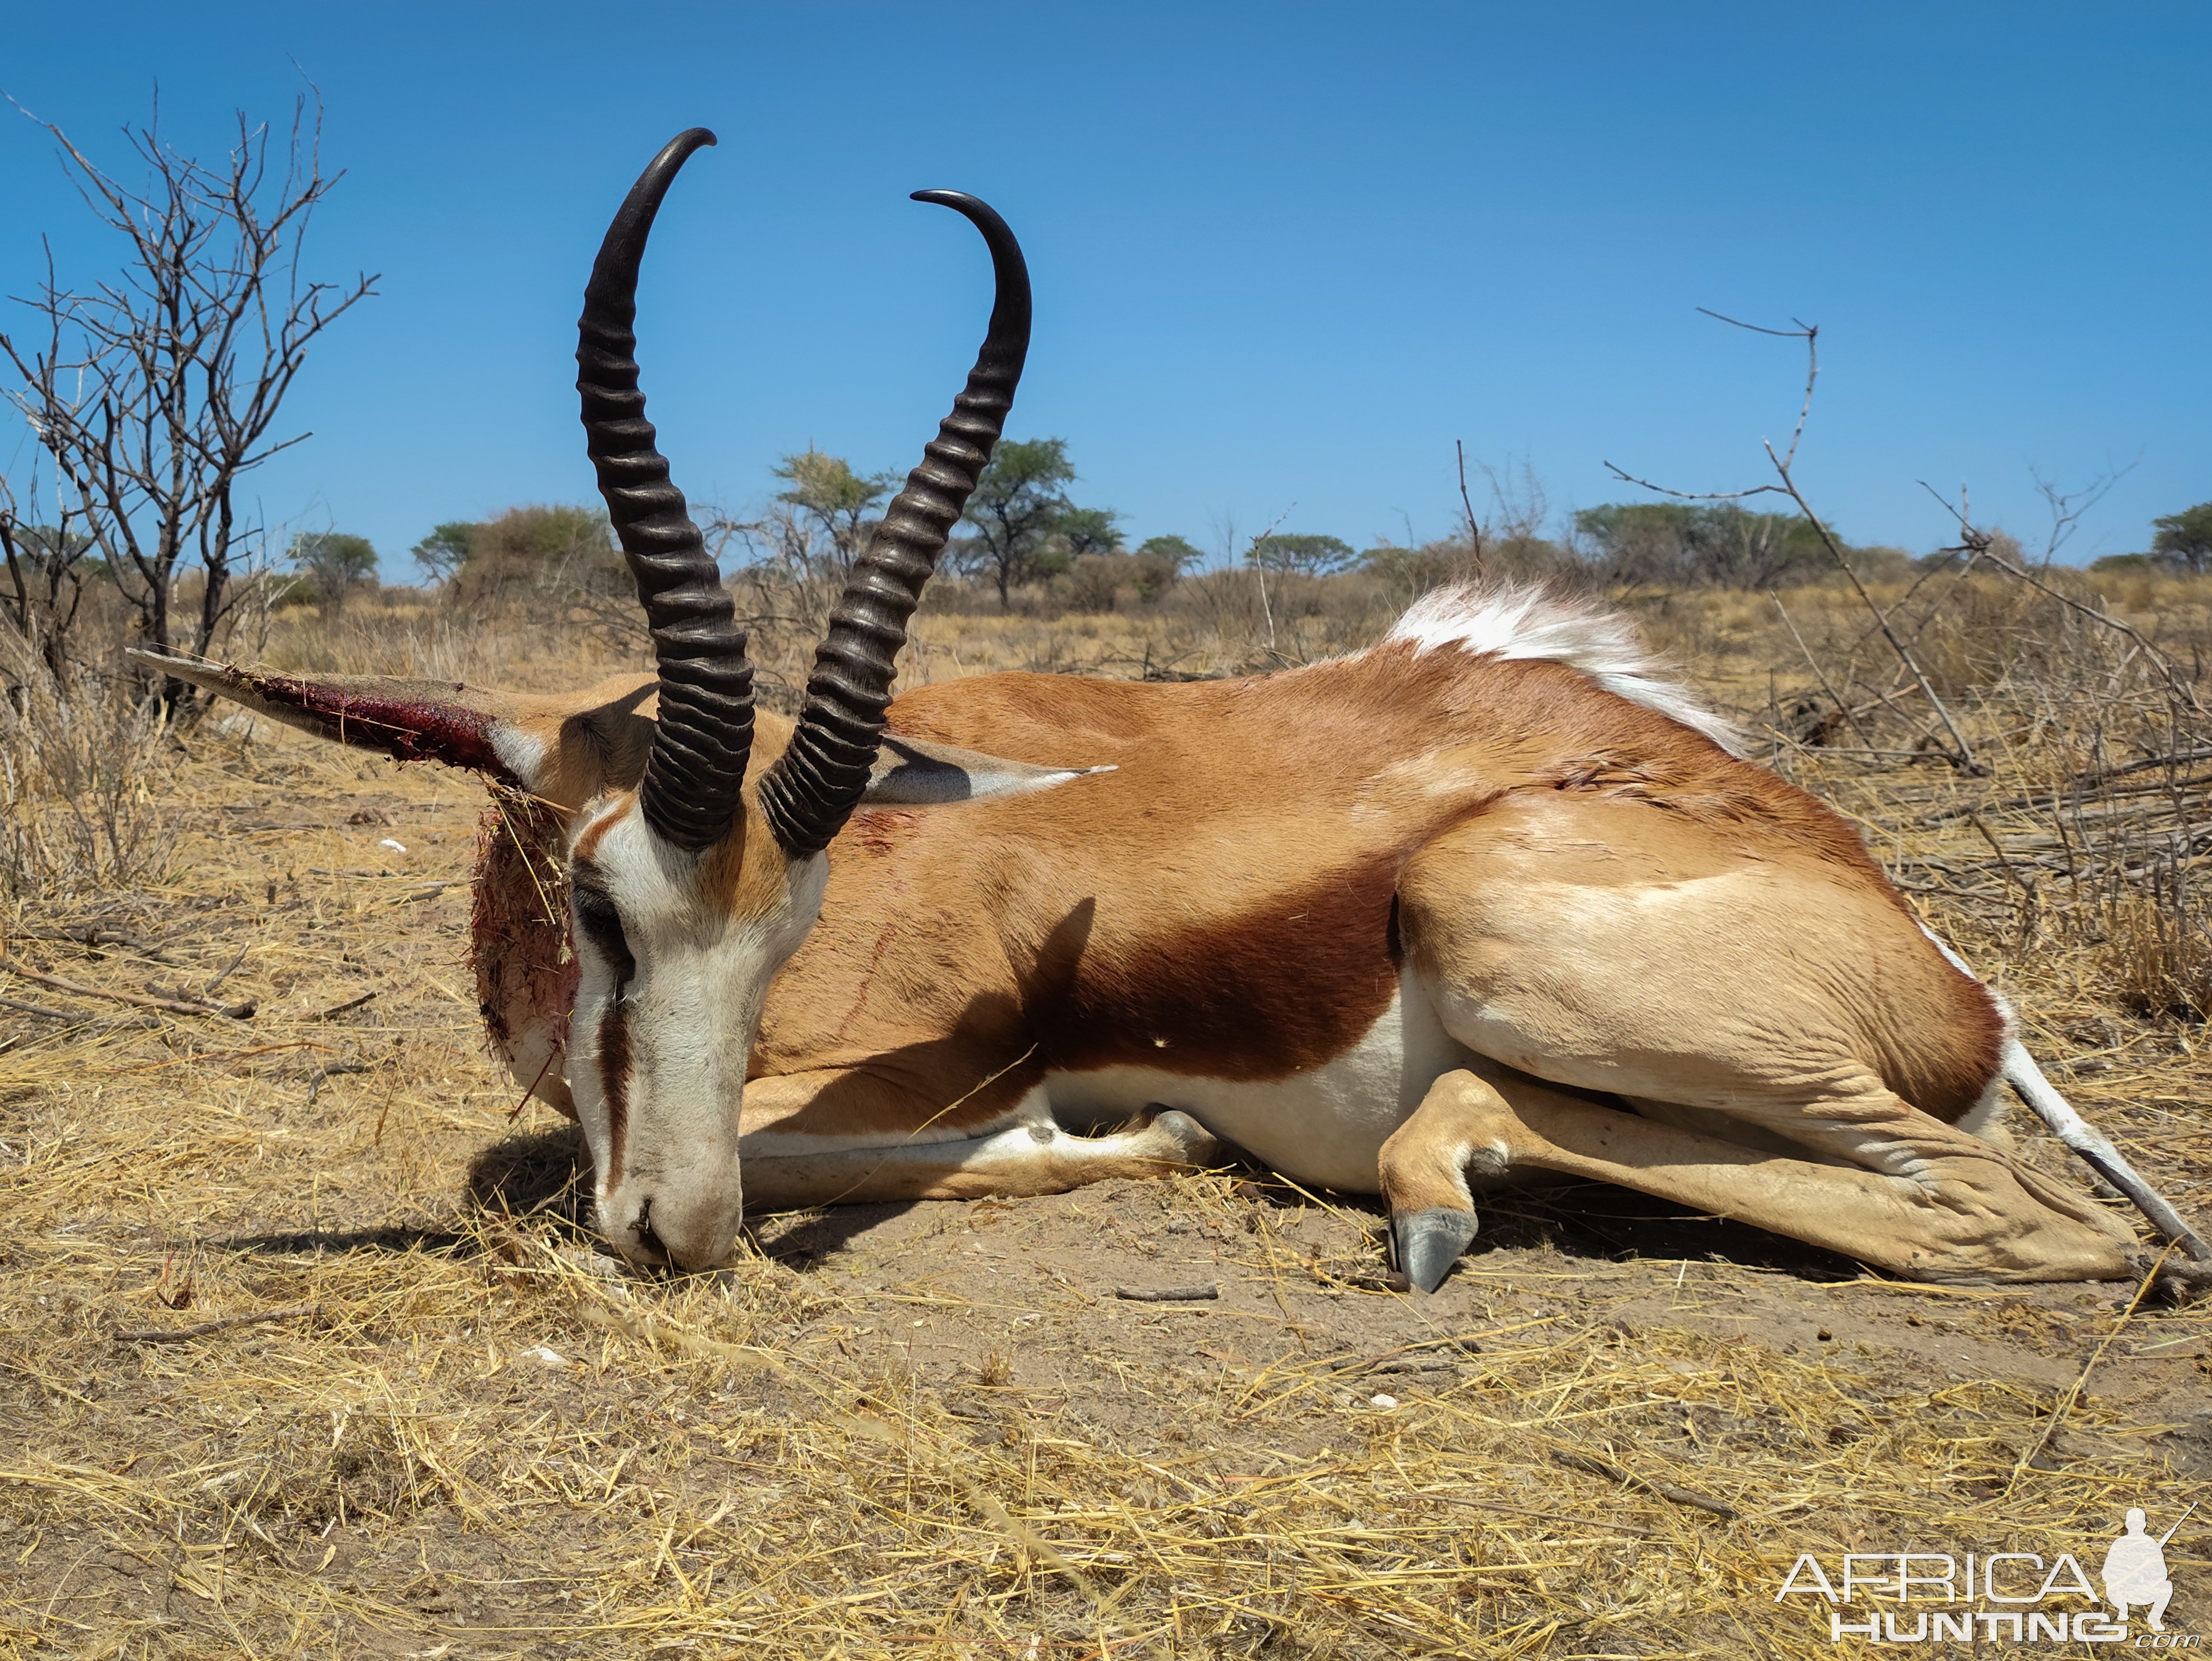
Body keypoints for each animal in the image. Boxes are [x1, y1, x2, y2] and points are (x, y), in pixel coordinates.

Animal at [143, 136, 2212, 1291]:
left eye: (786, 931)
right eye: (602, 907)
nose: (681, 1238)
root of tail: (1947, 970)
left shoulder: (902, 1075)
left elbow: (607, 1151)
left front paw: (1138, 1139)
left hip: (1514, 930)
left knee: (2067, 1227)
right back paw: (1438, 1194)